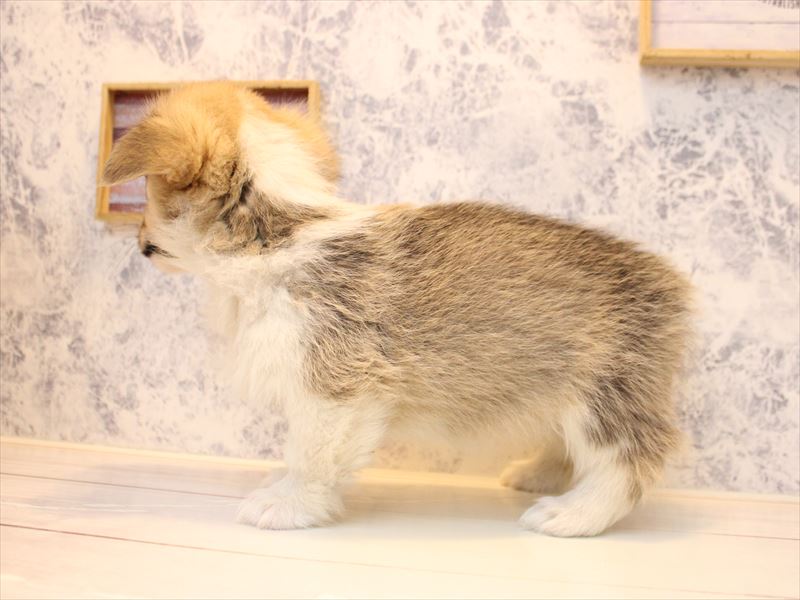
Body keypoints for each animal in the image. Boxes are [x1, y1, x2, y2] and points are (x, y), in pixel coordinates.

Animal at [101, 81, 692, 536]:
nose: (136, 239)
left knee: (634, 455)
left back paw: (573, 514)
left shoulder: (333, 389)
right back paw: (539, 475)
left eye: (149, 193)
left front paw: (286, 504)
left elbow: (310, 453)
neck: (278, 234)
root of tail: (673, 283)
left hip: (602, 396)